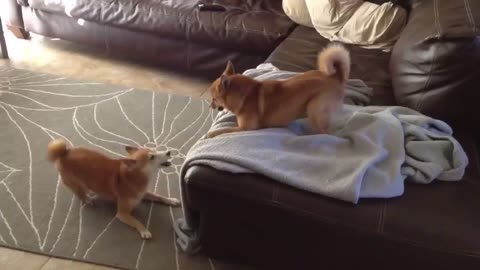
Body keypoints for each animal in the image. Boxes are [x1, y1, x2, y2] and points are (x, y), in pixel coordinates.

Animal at [46, 139, 180, 238]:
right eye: (152, 157)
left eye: (155, 150)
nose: (169, 152)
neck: (134, 177)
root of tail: (64, 153)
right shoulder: (122, 213)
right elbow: (136, 221)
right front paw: (144, 230)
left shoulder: (143, 193)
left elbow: (158, 196)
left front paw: (171, 200)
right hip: (76, 183)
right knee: (79, 193)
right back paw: (87, 199)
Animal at [205, 43, 348, 139]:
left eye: (214, 99)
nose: (209, 105)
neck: (245, 95)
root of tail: (336, 76)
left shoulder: (246, 128)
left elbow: (224, 130)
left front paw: (211, 133)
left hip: (313, 109)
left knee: (326, 133)